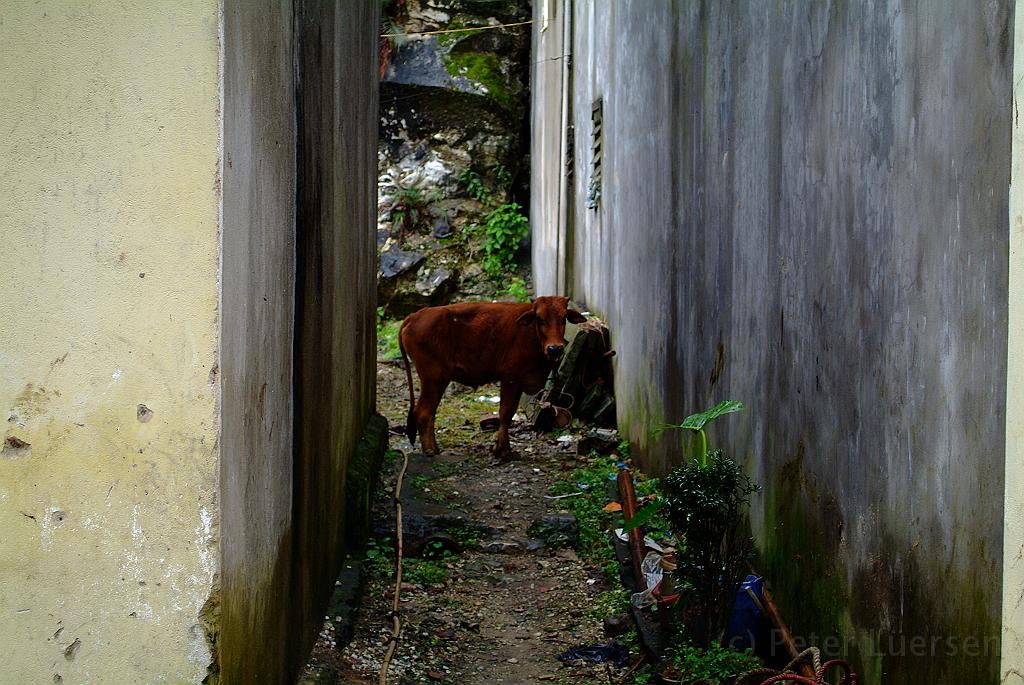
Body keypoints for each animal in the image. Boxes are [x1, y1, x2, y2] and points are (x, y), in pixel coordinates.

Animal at [399, 296, 589, 456]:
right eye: (539, 318)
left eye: (563, 318)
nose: (555, 348)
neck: (531, 335)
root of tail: (415, 315)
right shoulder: (510, 378)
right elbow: (505, 413)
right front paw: (502, 450)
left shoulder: (518, 382)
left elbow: (509, 414)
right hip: (434, 378)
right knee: (424, 412)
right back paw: (430, 451)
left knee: (430, 412)